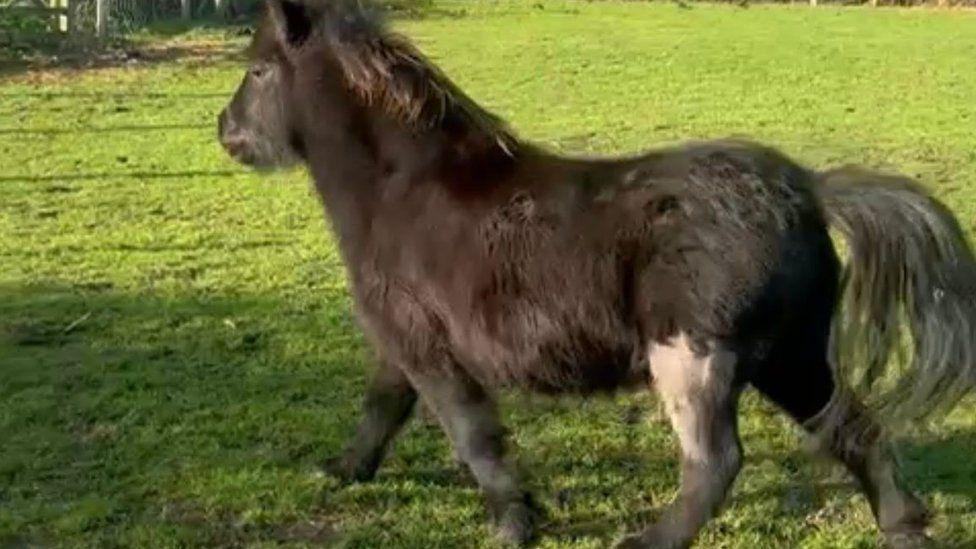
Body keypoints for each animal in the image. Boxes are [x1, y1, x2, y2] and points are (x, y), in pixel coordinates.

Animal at [215, 2, 976, 544]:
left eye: (258, 70)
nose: (225, 131)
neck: (401, 190)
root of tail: (811, 190)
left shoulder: (428, 350)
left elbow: (471, 434)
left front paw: (515, 522)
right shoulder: (401, 342)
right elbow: (381, 408)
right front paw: (345, 471)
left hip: (694, 355)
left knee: (716, 463)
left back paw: (646, 541)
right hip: (790, 357)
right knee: (854, 428)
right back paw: (904, 529)